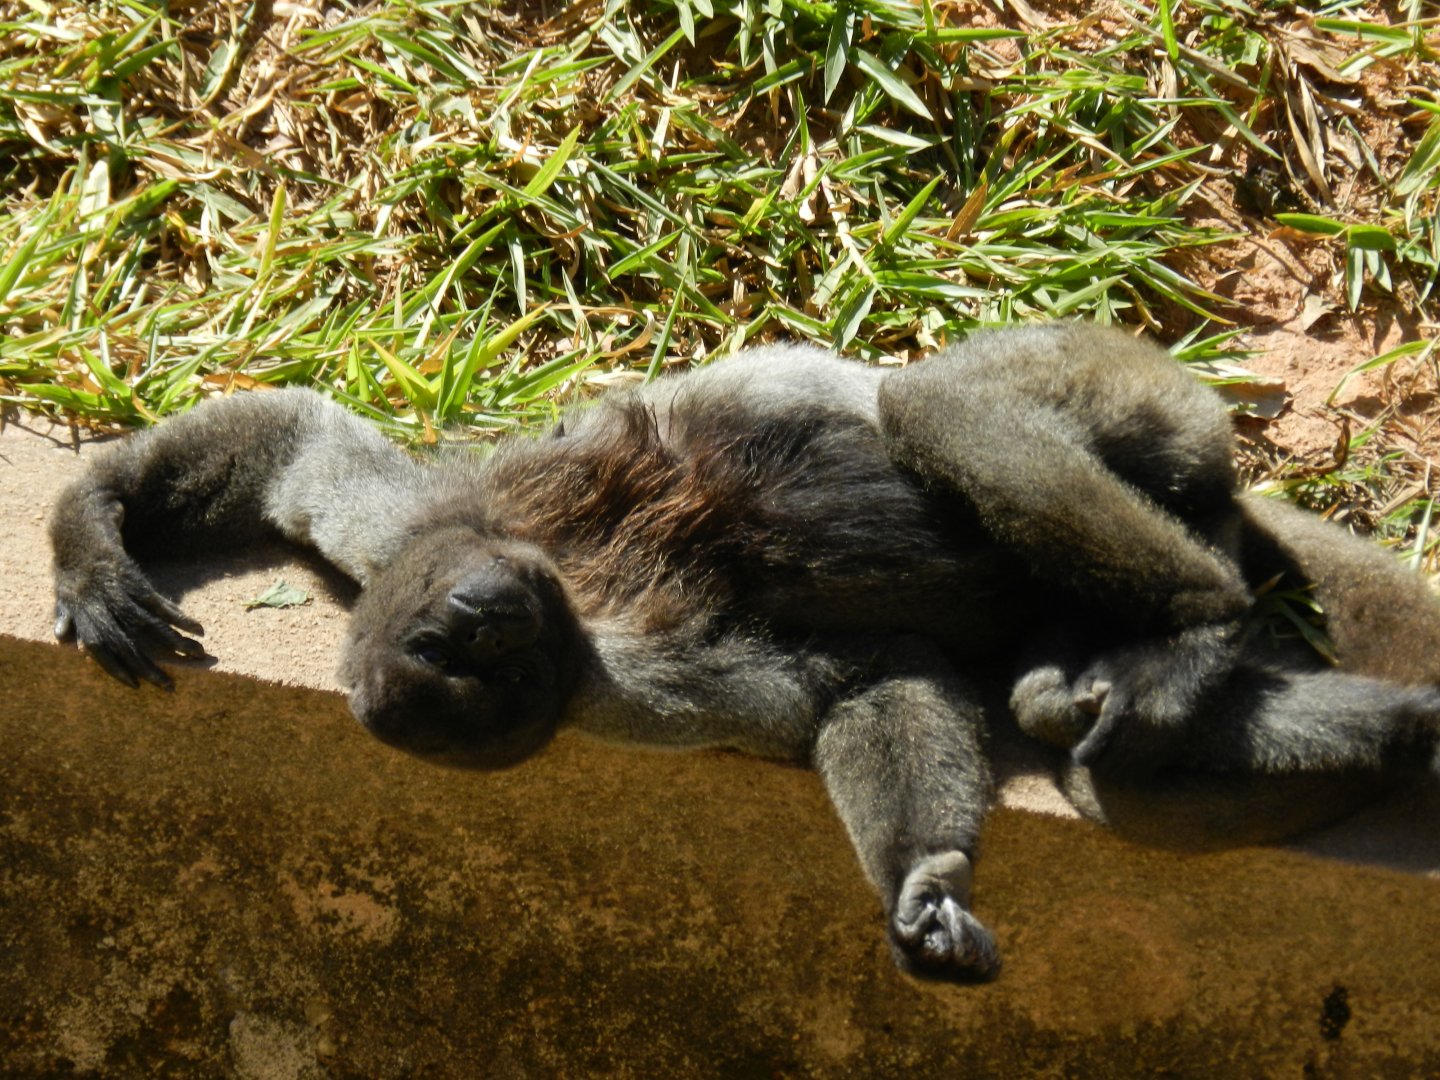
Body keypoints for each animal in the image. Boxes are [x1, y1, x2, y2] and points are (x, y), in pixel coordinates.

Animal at [48, 323, 1440, 981]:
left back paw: (1202, 611)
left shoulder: (407, 527)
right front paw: (927, 881)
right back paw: (1288, 681)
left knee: (930, 406)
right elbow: (870, 680)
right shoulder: (636, 696)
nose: (494, 618)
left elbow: (295, 442)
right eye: (478, 675)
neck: (572, 596)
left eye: (454, 636)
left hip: (1129, 390)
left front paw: (91, 538)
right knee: (1067, 709)